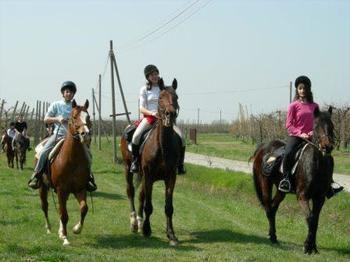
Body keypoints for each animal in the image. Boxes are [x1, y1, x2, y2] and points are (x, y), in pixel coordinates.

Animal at [38, 100, 91, 246]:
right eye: (74, 117)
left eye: (88, 117)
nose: (85, 134)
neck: (72, 159)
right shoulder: (61, 189)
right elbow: (64, 215)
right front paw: (66, 239)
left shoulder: (80, 188)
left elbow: (84, 208)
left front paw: (76, 229)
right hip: (43, 187)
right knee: (45, 206)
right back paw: (49, 228)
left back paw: (60, 231)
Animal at [119, 78, 180, 246]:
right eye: (160, 98)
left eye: (176, 97)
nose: (170, 114)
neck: (162, 146)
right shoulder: (149, 175)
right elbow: (149, 206)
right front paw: (147, 230)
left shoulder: (171, 177)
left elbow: (168, 207)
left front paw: (171, 234)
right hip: (128, 168)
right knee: (131, 191)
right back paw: (134, 222)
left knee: (140, 195)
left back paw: (139, 222)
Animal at [250, 106, 334, 254]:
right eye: (316, 126)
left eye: (332, 125)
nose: (327, 147)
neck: (317, 164)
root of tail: (263, 147)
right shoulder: (302, 196)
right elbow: (310, 218)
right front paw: (307, 246)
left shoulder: (319, 198)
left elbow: (316, 220)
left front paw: (313, 247)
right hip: (265, 184)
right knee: (268, 208)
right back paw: (273, 237)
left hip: (280, 190)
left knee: (273, 207)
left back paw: (273, 236)